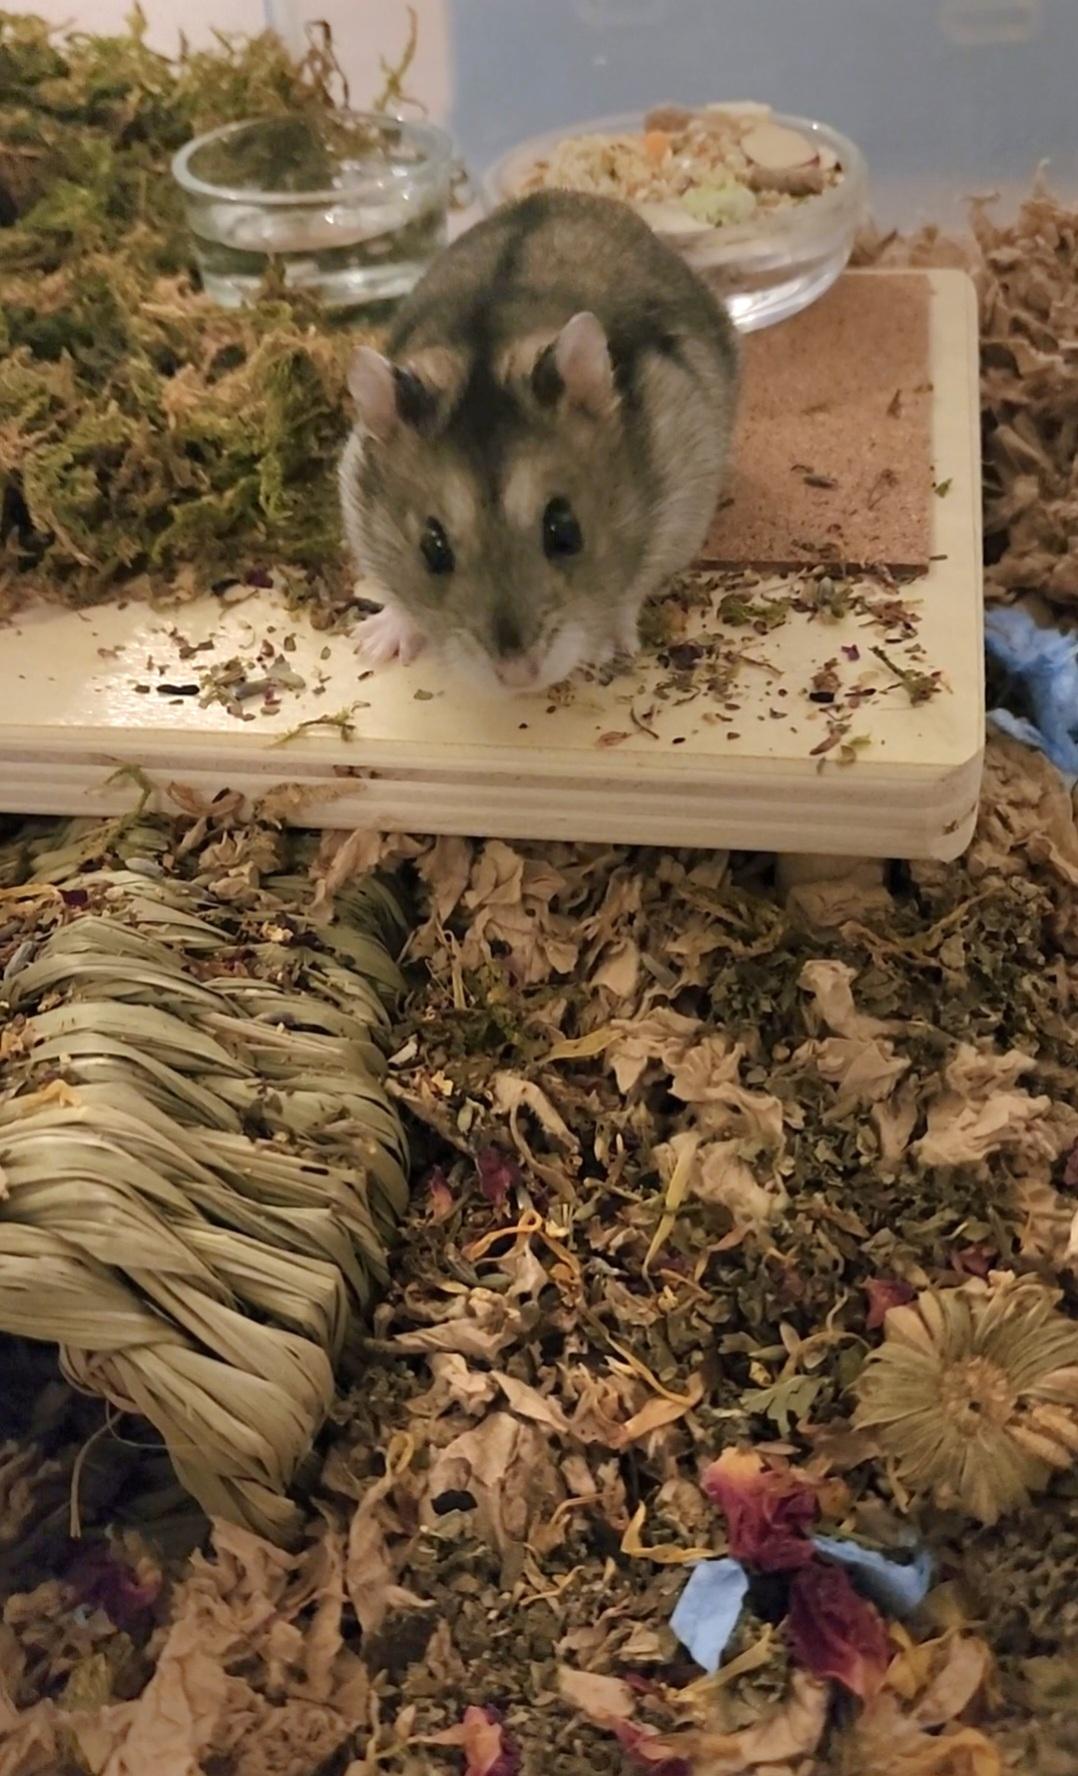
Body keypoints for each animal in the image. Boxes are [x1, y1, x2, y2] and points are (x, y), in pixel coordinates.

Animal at [339, 188, 739, 694]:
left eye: (565, 531)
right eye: (432, 550)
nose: (518, 677)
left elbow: (633, 585)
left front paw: (609, 648)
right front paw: (373, 643)